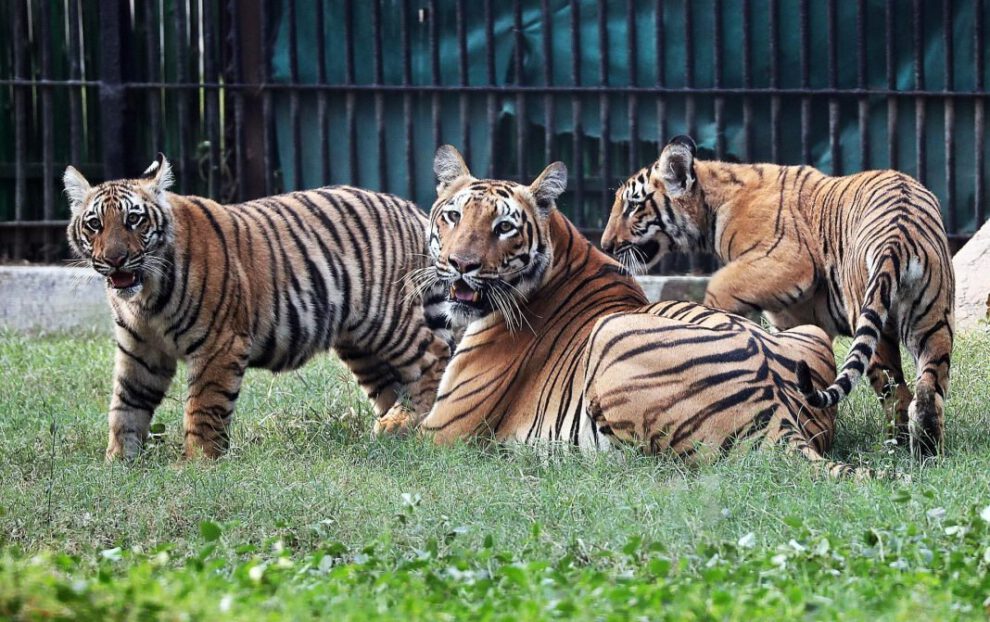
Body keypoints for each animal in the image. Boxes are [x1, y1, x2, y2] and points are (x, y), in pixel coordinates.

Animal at [63, 154, 452, 459]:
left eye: (134, 219)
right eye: (95, 224)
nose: (115, 260)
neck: (145, 298)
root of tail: (412, 209)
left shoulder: (219, 343)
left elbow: (203, 405)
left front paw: (198, 463)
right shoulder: (141, 349)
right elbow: (126, 406)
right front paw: (118, 462)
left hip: (386, 318)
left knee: (433, 356)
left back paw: (407, 421)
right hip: (360, 344)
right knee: (393, 382)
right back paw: (393, 428)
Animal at [376, 144, 887, 479]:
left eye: (504, 227)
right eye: (453, 216)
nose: (460, 264)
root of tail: (777, 409)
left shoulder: (445, 431)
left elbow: (383, 435)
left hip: (612, 334)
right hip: (809, 334)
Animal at [602, 136, 955, 459]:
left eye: (633, 205)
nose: (606, 245)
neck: (711, 203)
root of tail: (899, 233)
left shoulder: (789, 260)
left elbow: (719, 286)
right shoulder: (796, 315)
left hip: (875, 322)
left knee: (896, 394)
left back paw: (897, 447)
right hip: (934, 321)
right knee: (928, 389)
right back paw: (927, 448)